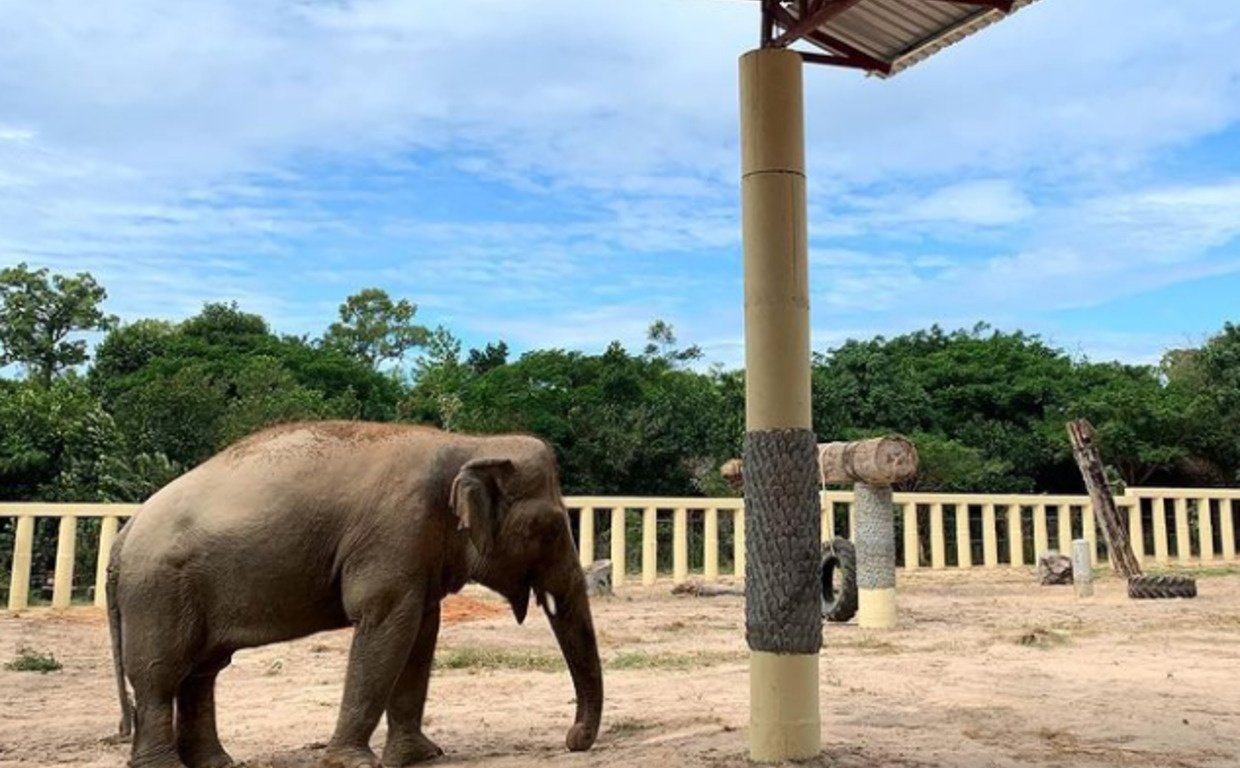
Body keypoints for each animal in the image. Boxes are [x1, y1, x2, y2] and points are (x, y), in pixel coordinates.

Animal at [109, 421, 602, 768]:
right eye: (550, 529)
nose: (572, 741)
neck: (470, 444)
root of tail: (126, 530)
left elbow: (421, 634)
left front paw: (421, 756)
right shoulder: (393, 536)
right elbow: (388, 627)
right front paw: (356, 762)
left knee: (202, 672)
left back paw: (216, 764)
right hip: (158, 592)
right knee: (160, 675)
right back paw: (166, 766)